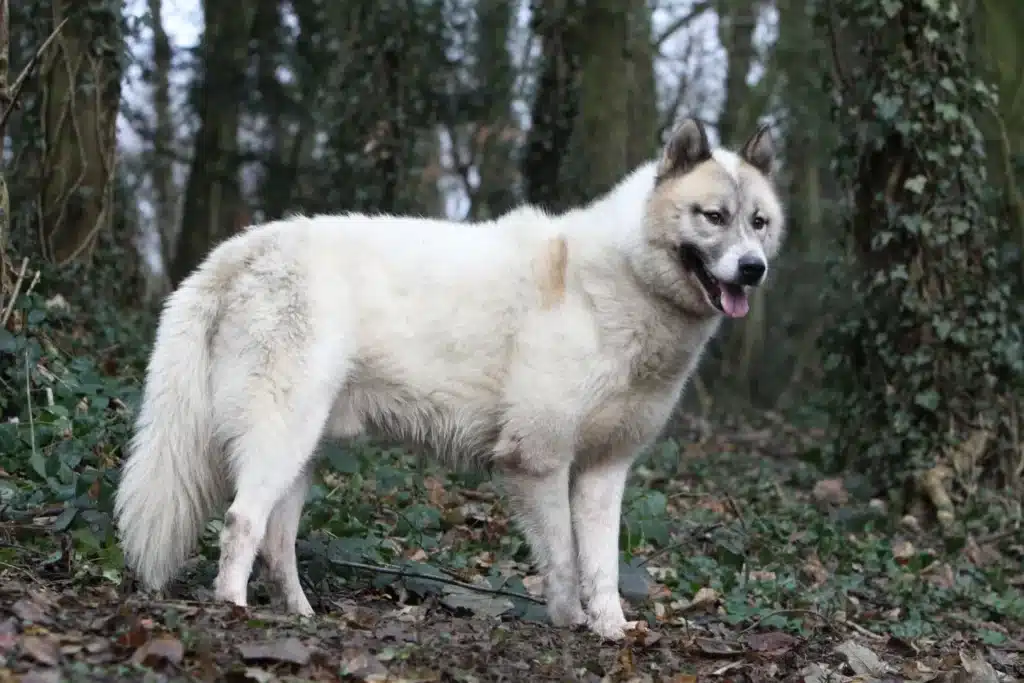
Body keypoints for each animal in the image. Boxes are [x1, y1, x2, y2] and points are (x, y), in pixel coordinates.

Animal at [114, 116, 782, 643]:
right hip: (280, 437)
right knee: (240, 523)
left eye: (759, 222)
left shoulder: (603, 471)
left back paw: (300, 615)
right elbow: (565, 561)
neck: (620, 285)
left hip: (300, 452)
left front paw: (612, 630)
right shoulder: (537, 461)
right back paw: (234, 611)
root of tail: (240, 249)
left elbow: (603, 568)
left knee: (277, 546)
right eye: (713, 217)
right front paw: (569, 625)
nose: (754, 269)